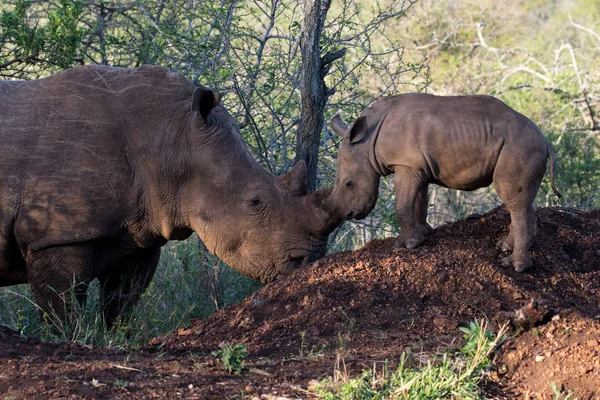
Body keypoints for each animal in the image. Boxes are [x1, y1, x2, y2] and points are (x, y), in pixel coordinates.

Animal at [330, 93, 560, 272]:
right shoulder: (417, 166)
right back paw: (504, 247)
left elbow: (402, 204)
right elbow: (419, 201)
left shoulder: (406, 164)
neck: (367, 142)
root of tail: (545, 141)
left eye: (349, 184)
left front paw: (408, 245)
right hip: (523, 146)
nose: (350, 214)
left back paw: (514, 265)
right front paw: (423, 233)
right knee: (523, 201)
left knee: (513, 200)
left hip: (520, 147)